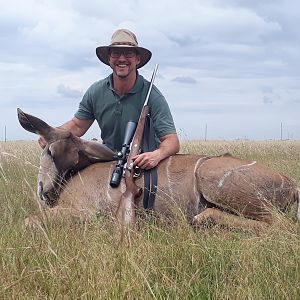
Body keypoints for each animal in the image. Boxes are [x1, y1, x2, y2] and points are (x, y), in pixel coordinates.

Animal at [17, 109, 298, 231]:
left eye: (49, 151)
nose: (44, 193)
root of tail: (292, 185)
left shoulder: (84, 212)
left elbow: (29, 220)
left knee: (279, 223)